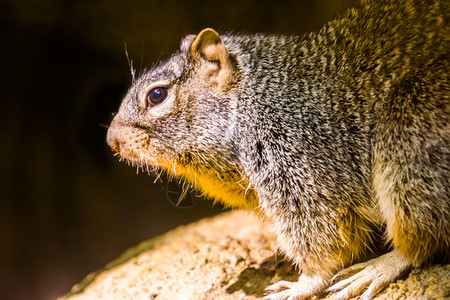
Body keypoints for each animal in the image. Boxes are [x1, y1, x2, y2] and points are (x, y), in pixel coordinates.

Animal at [107, 0, 448, 298]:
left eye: (157, 95)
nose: (111, 140)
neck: (257, 94)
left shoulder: (297, 164)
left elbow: (324, 237)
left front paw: (305, 283)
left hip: (407, 140)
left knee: (423, 239)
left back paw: (378, 268)